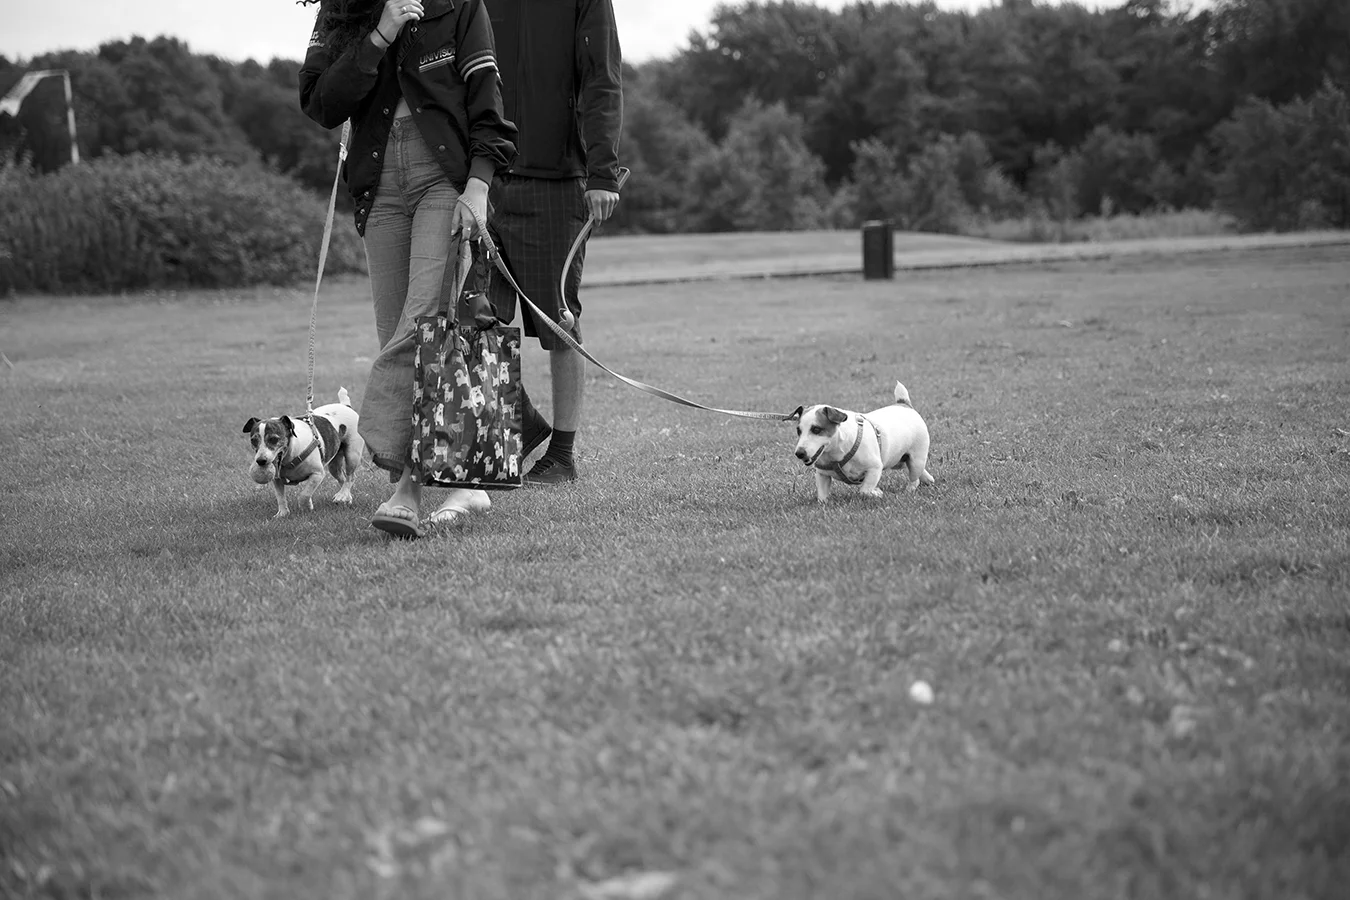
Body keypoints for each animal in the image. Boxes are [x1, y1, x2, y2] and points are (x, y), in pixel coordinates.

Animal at [242, 387, 364, 518]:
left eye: (274, 439)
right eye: (253, 440)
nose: (260, 461)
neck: (290, 455)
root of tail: (345, 405)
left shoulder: (317, 474)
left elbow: (304, 494)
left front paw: (306, 506)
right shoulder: (277, 480)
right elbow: (280, 497)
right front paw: (283, 514)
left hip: (352, 454)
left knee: (350, 476)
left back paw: (342, 495)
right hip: (334, 465)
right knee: (342, 478)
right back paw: (345, 497)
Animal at [791, 381, 935, 503]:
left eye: (816, 429)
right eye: (798, 430)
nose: (799, 453)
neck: (837, 451)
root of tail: (904, 404)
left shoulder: (875, 468)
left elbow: (864, 491)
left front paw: (877, 492)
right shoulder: (822, 475)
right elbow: (822, 497)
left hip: (916, 459)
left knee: (914, 478)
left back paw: (909, 490)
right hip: (899, 460)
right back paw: (928, 479)